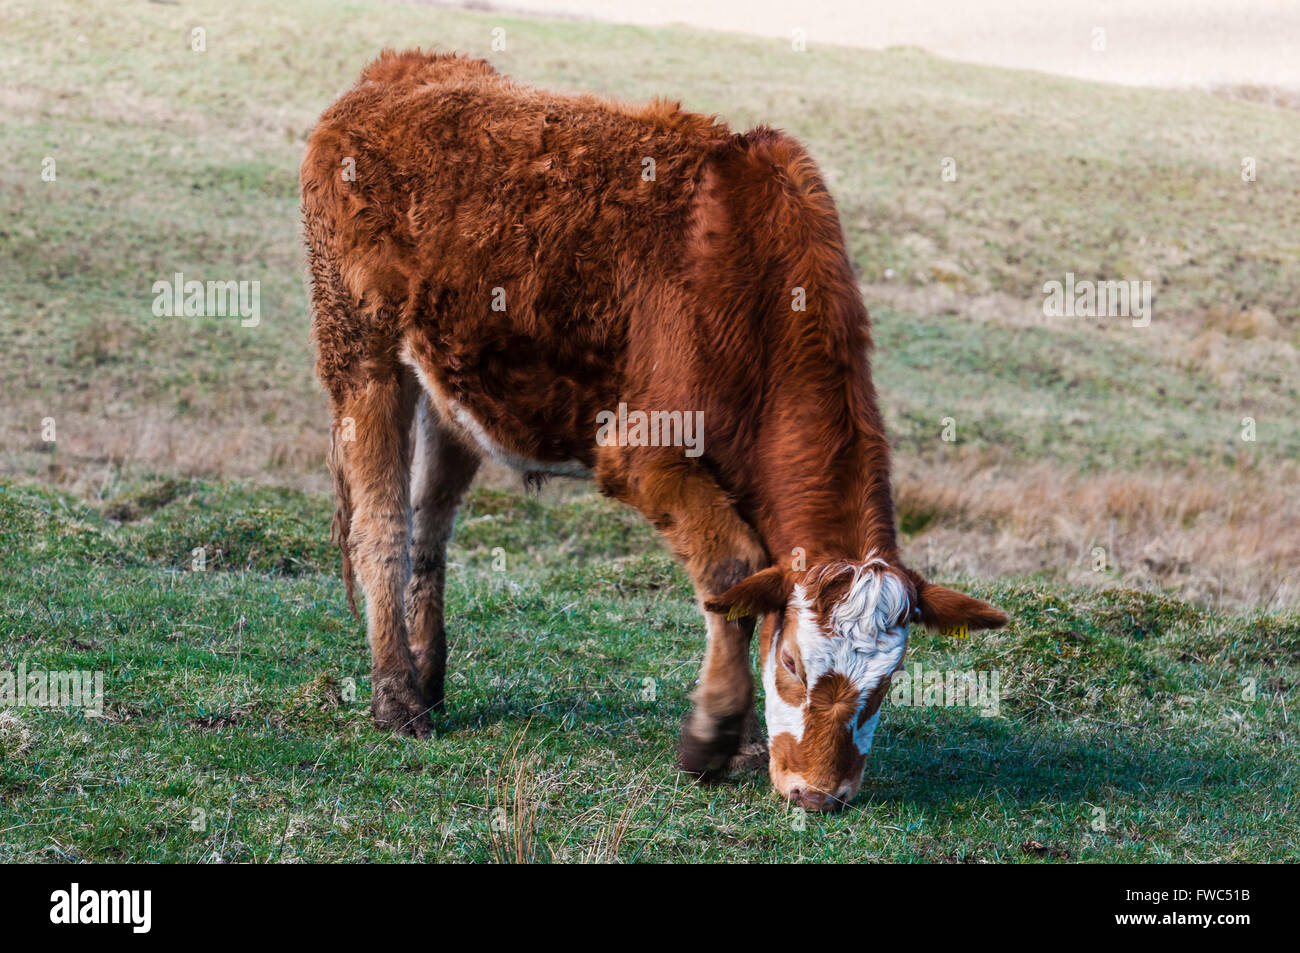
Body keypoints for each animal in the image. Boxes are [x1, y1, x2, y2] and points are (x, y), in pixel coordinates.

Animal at [301, 50, 1003, 811]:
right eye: (792, 662)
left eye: (887, 683)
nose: (819, 793)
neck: (755, 290)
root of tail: (394, 71)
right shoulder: (640, 452)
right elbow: (732, 568)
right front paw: (714, 736)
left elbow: (749, 585)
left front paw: (745, 741)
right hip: (360, 350)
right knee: (381, 525)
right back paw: (397, 699)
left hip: (449, 386)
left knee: (430, 525)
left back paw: (428, 681)